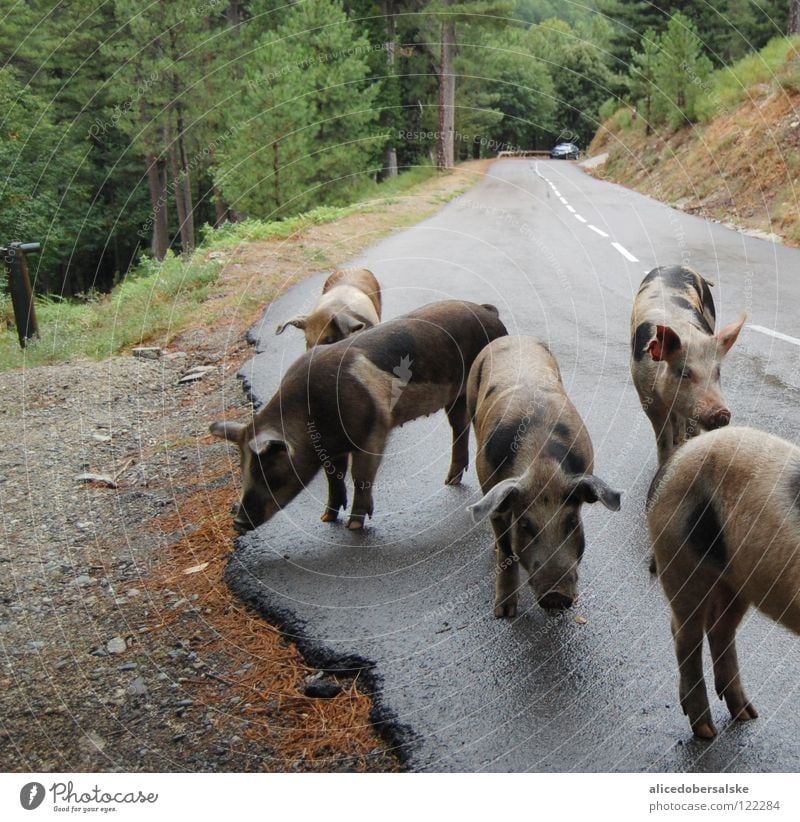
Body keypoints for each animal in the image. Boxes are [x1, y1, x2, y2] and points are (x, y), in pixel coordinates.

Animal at [211, 300, 506, 536]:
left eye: (271, 473)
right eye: (242, 470)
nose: (238, 523)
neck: (310, 415)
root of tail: (488, 312)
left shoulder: (373, 433)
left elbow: (360, 476)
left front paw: (354, 526)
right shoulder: (331, 448)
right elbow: (334, 477)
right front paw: (326, 518)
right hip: (455, 396)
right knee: (459, 427)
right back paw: (450, 481)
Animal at [466, 336, 620, 616]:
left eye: (572, 521)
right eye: (526, 525)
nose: (556, 596)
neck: (542, 465)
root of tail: (512, 337)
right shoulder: (492, 492)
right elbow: (507, 549)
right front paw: (504, 613)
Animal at [632, 268, 744, 466]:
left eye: (717, 372)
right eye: (684, 373)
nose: (722, 413)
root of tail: (675, 265)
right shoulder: (646, 397)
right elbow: (662, 438)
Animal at [648, 428, 800, 744]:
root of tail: (675, 458)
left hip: (736, 580)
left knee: (720, 630)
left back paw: (747, 715)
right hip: (678, 560)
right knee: (685, 635)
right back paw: (706, 731)